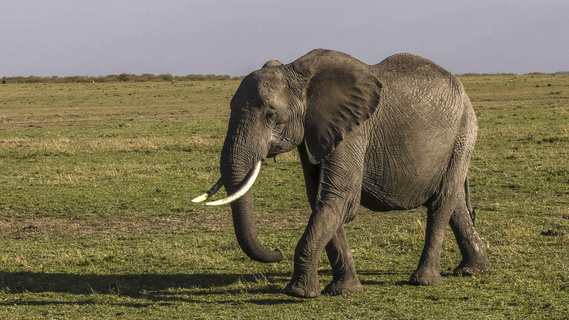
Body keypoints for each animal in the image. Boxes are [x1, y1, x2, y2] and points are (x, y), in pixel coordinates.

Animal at [193, 48, 490, 298]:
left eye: (270, 115)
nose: (277, 252)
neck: (296, 72)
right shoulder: (314, 133)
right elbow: (321, 200)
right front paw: (344, 291)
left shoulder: (354, 130)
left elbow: (339, 198)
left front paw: (298, 293)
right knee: (454, 203)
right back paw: (473, 271)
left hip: (464, 132)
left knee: (442, 202)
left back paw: (424, 281)